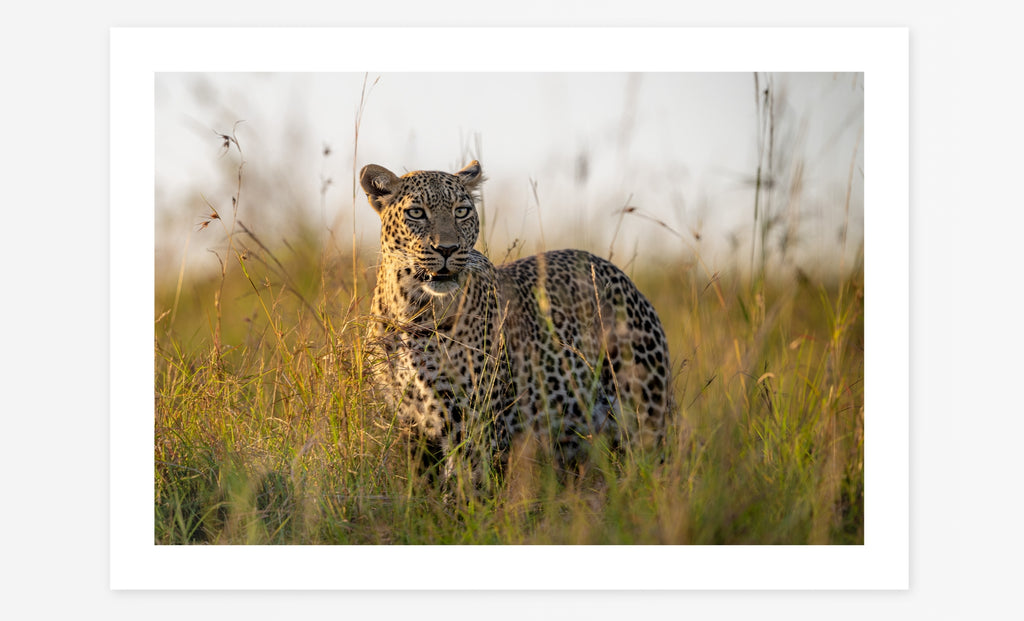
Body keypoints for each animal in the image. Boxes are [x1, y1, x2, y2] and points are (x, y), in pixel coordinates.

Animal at [360, 160, 673, 486]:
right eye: (416, 213)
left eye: (462, 211)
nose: (447, 249)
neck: (412, 309)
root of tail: (622, 277)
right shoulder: (409, 421)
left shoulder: (472, 420)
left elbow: (466, 486)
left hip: (644, 412)